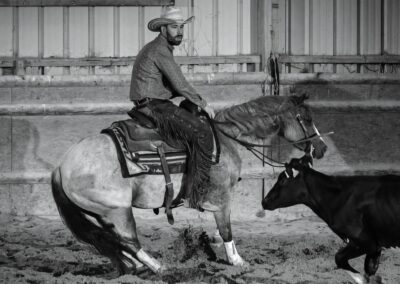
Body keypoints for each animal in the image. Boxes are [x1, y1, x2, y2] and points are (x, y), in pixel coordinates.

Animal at [51, 93, 326, 276]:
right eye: (305, 118)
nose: (321, 148)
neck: (227, 140)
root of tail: (61, 166)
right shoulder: (222, 198)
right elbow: (226, 229)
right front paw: (237, 261)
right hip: (118, 210)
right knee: (130, 241)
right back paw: (158, 267)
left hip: (103, 213)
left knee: (114, 241)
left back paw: (135, 265)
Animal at [260, 155, 398, 284]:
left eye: (283, 180)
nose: (264, 201)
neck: (340, 196)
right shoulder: (375, 247)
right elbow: (370, 269)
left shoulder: (365, 241)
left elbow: (339, 258)